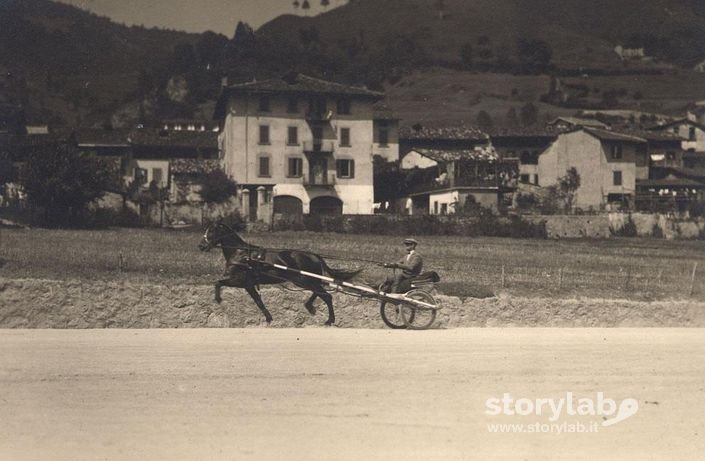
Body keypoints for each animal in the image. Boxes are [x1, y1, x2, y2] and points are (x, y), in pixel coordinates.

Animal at [201, 221, 360, 326]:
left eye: (211, 231)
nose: (200, 246)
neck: (241, 254)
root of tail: (315, 256)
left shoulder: (240, 281)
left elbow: (218, 282)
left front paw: (218, 299)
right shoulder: (248, 284)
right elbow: (258, 301)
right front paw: (269, 318)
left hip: (304, 280)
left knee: (326, 295)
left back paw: (329, 320)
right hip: (305, 280)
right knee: (320, 292)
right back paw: (310, 306)